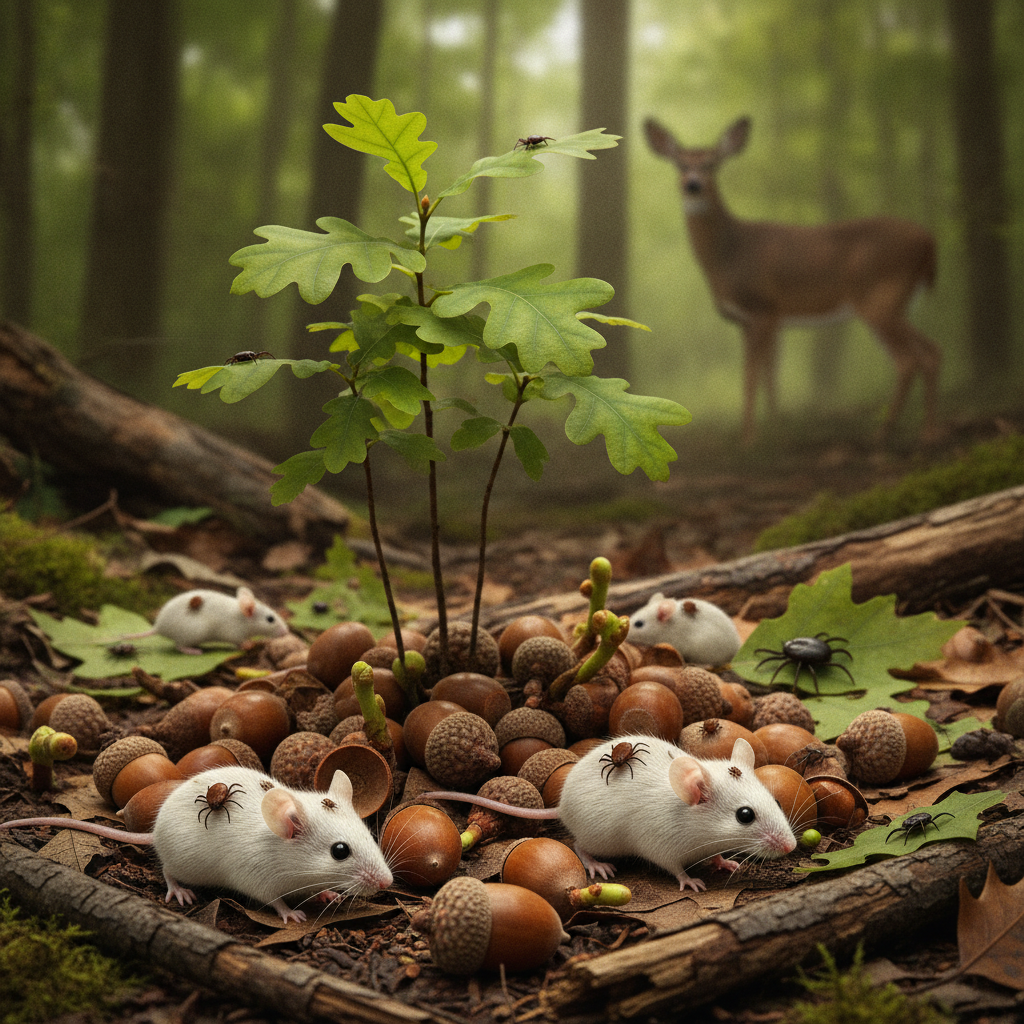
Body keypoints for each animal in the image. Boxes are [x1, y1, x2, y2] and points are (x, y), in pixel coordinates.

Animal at [644, 116, 941, 445]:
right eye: (680, 164)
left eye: (712, 163)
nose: (693, 185)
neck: (731, 254)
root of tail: (929, 242)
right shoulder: (759, 318)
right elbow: (769, 374)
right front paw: (775, 428)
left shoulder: (761, 308)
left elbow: (751, 376)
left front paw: (749, 438)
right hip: (897, 302)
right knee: (932, 351)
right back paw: (927, 431)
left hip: (880, 297)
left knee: (909, 359)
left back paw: (888, 432)